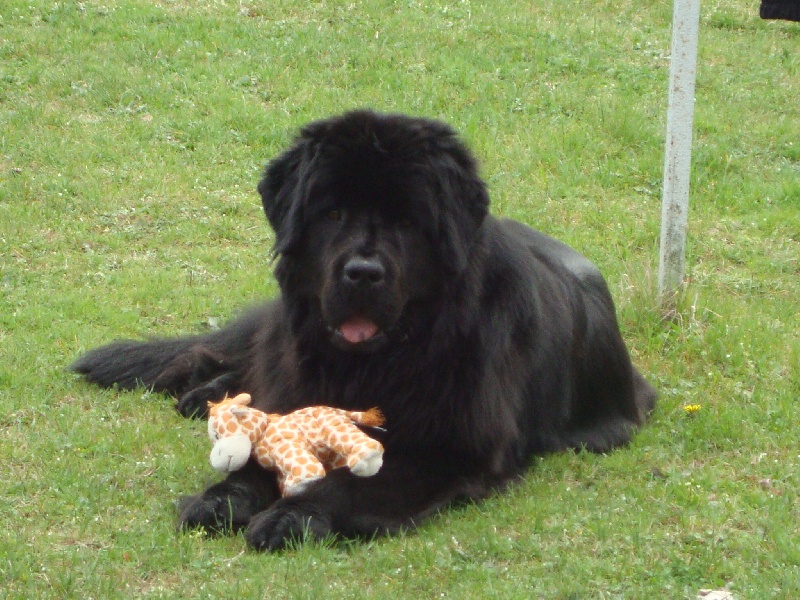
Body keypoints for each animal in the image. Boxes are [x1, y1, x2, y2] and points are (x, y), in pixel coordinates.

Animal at [70, 110, 656, 552]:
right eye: (332, 213)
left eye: (407, 222)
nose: (363, 272)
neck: (376, 362)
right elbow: (258, 457)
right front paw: (221, 497)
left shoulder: (451, 448)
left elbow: (353, 481)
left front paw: (291, 515)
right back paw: (207, 395)